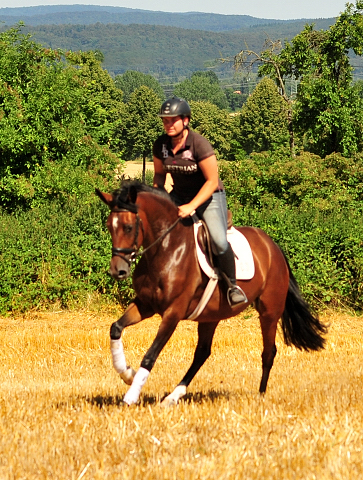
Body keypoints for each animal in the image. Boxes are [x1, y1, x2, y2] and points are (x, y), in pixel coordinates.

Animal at [96, 180, 328, 404]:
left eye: (128, 227)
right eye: (109, 226)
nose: (118, 270)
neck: (167, 249)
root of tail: (272, 246)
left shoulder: (173, 313)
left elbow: (150, 355)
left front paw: (130, 396)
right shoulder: (146, 305)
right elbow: (115, 328)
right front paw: (127, 374)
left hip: (269, 312)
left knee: (268, 352)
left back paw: (260, 396)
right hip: (211, 315)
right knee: (202, 352)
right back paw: (173, 396)